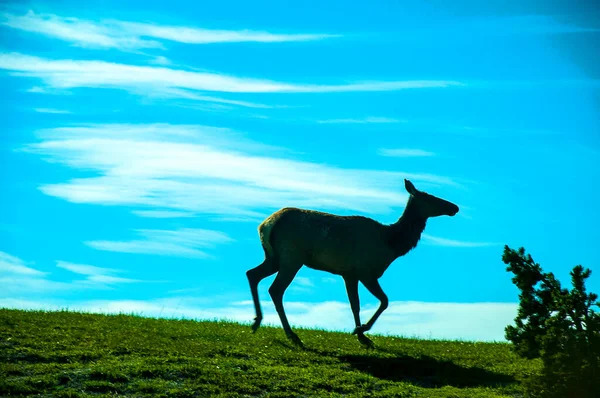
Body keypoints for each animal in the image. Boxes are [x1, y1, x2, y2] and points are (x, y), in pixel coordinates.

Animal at [244, 179, 460, 346]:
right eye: (430, 197)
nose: (454, 207)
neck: (391, 244)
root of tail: (265, 225)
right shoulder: (365, 271)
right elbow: (384, 301)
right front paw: (361, 330)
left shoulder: (348, 274)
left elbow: (354, 304)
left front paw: (360, 333)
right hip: (292, 258)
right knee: (275, 289)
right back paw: (291, 335)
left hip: (274, 258)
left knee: (252, 274)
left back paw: (257, 321)